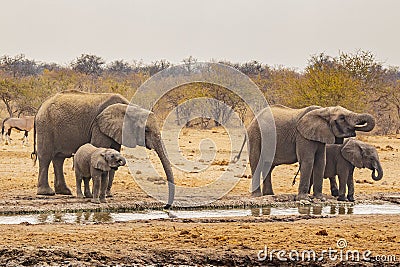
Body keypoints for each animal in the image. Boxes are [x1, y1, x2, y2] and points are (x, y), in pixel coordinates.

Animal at [32, 91, 174, 208]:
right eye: (146, 130)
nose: (166, 206)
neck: (130, 107)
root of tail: (41, 106)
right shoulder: (99, 127)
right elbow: (98, 146)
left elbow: (114, 153)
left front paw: (108, 194)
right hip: (45, 125)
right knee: (45, 157)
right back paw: (47, 193)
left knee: (58, 159)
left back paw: (65, 192)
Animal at [234, 104, 376, 201]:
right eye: (342, 118)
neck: (323, 111)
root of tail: (253, 120)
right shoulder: (302, 136)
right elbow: (308, 160)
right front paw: (304, 198)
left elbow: (321, 161)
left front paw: (319, 198)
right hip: (255, 136)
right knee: (257, 163)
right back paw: (257, 196)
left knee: (269, 165)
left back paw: (269, 195)